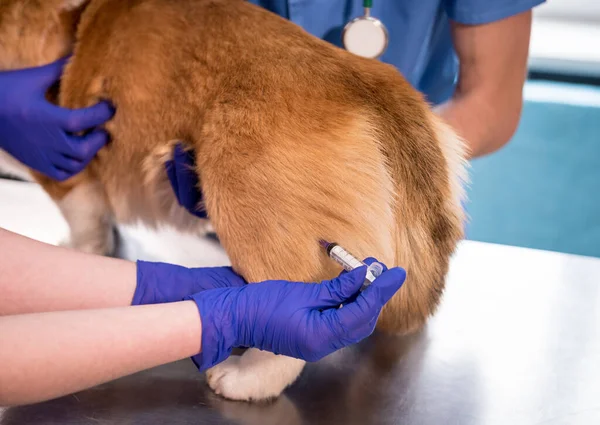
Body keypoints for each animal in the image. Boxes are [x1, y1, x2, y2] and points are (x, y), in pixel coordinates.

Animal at [0, 0, 468, 400]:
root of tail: (372, 87)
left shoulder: (64, 172)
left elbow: (85, 223)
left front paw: (82, 249)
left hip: (250, 211)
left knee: (290, 325)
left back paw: (246, 378)